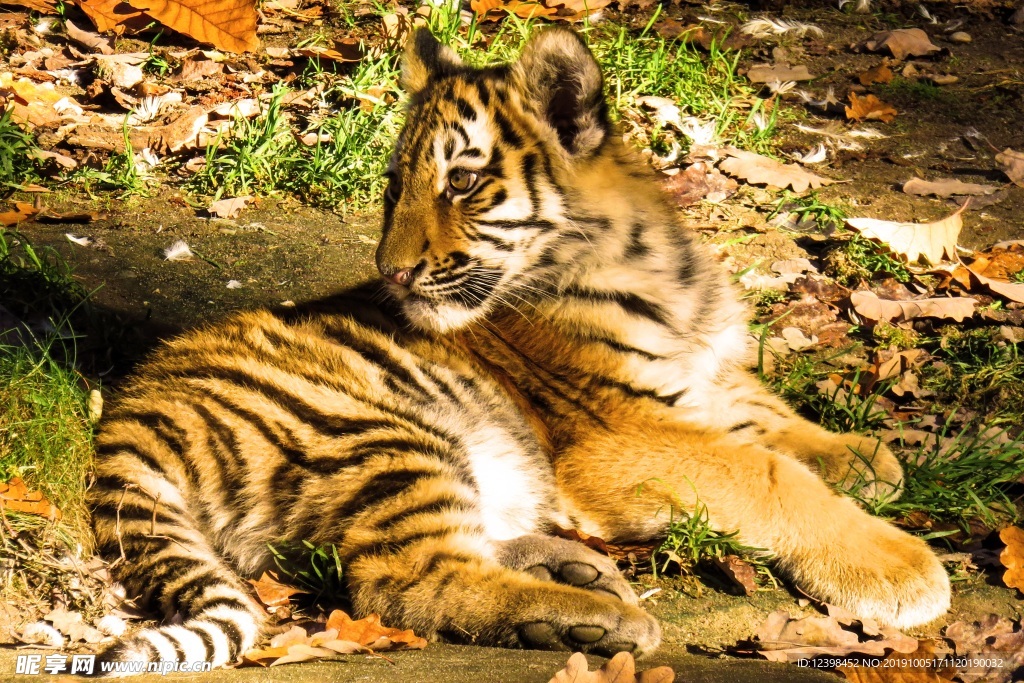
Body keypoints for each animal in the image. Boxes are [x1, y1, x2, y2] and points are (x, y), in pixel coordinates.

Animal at [88, 27, 951, 673]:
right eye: (395, 185)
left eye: (462, 183)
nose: (390, 271)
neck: (656, 266)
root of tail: (131, 409)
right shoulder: (615, 435)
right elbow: (765, 473)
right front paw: (898, 566)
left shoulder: (701, 374)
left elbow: (771, 414)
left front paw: (864, 457)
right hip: (382, 434)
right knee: (406, 582)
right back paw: (590, 619)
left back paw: (576, 570)